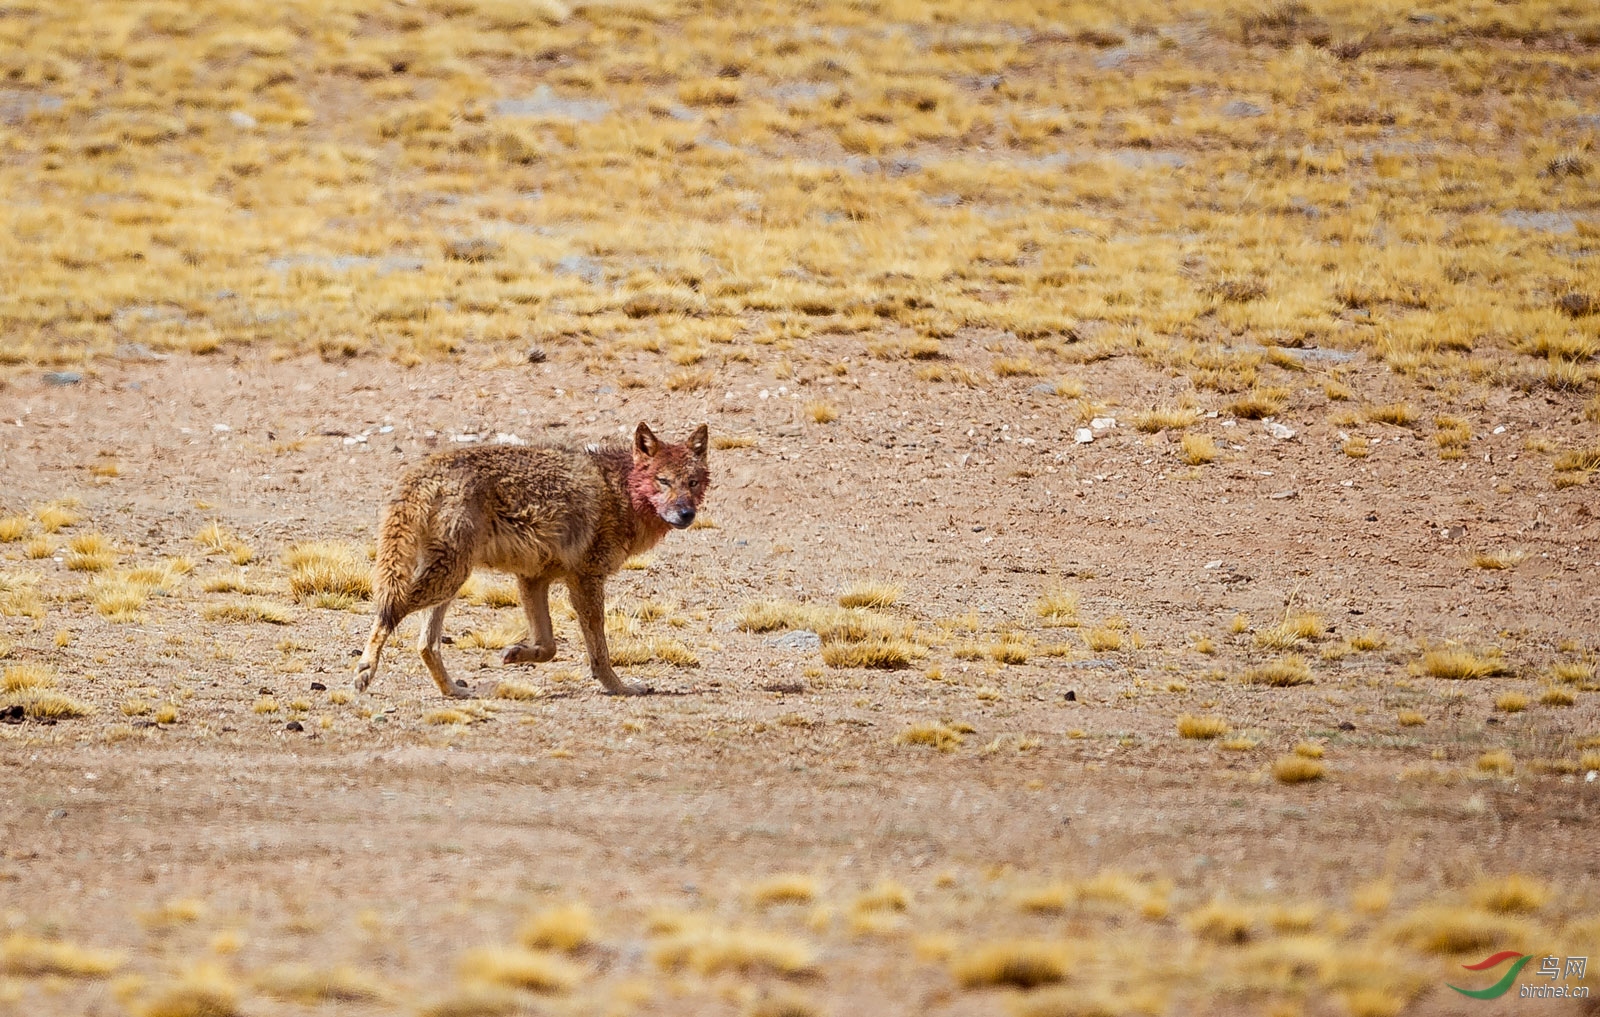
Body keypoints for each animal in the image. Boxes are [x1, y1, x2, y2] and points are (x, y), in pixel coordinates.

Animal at [363, 422, 713, 700]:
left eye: (692, 482)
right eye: (663, 481)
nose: (686, 513)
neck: (619, 493)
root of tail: (422, 470)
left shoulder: (532, 579)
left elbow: (549, 646)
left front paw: (518, 653)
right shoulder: (586, 579)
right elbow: (598, 648)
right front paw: (619, 687)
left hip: (449, 582)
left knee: (426, 644)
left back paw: (455, 691)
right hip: (447, 578)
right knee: (390, 613)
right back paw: (364, 671)